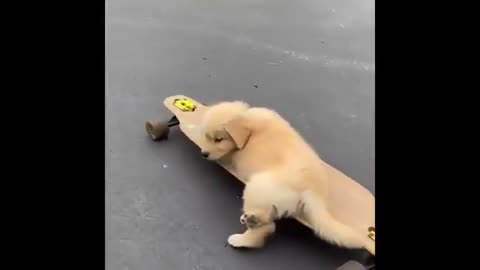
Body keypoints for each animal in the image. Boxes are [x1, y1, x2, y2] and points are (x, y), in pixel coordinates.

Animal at [200, 100, 376, 253]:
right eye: (206, 136)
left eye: (218, 139)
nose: (203, 154)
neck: (251, 127)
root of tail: (314, 192)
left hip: (258, 187)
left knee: (266, 228)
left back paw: (240, 239)